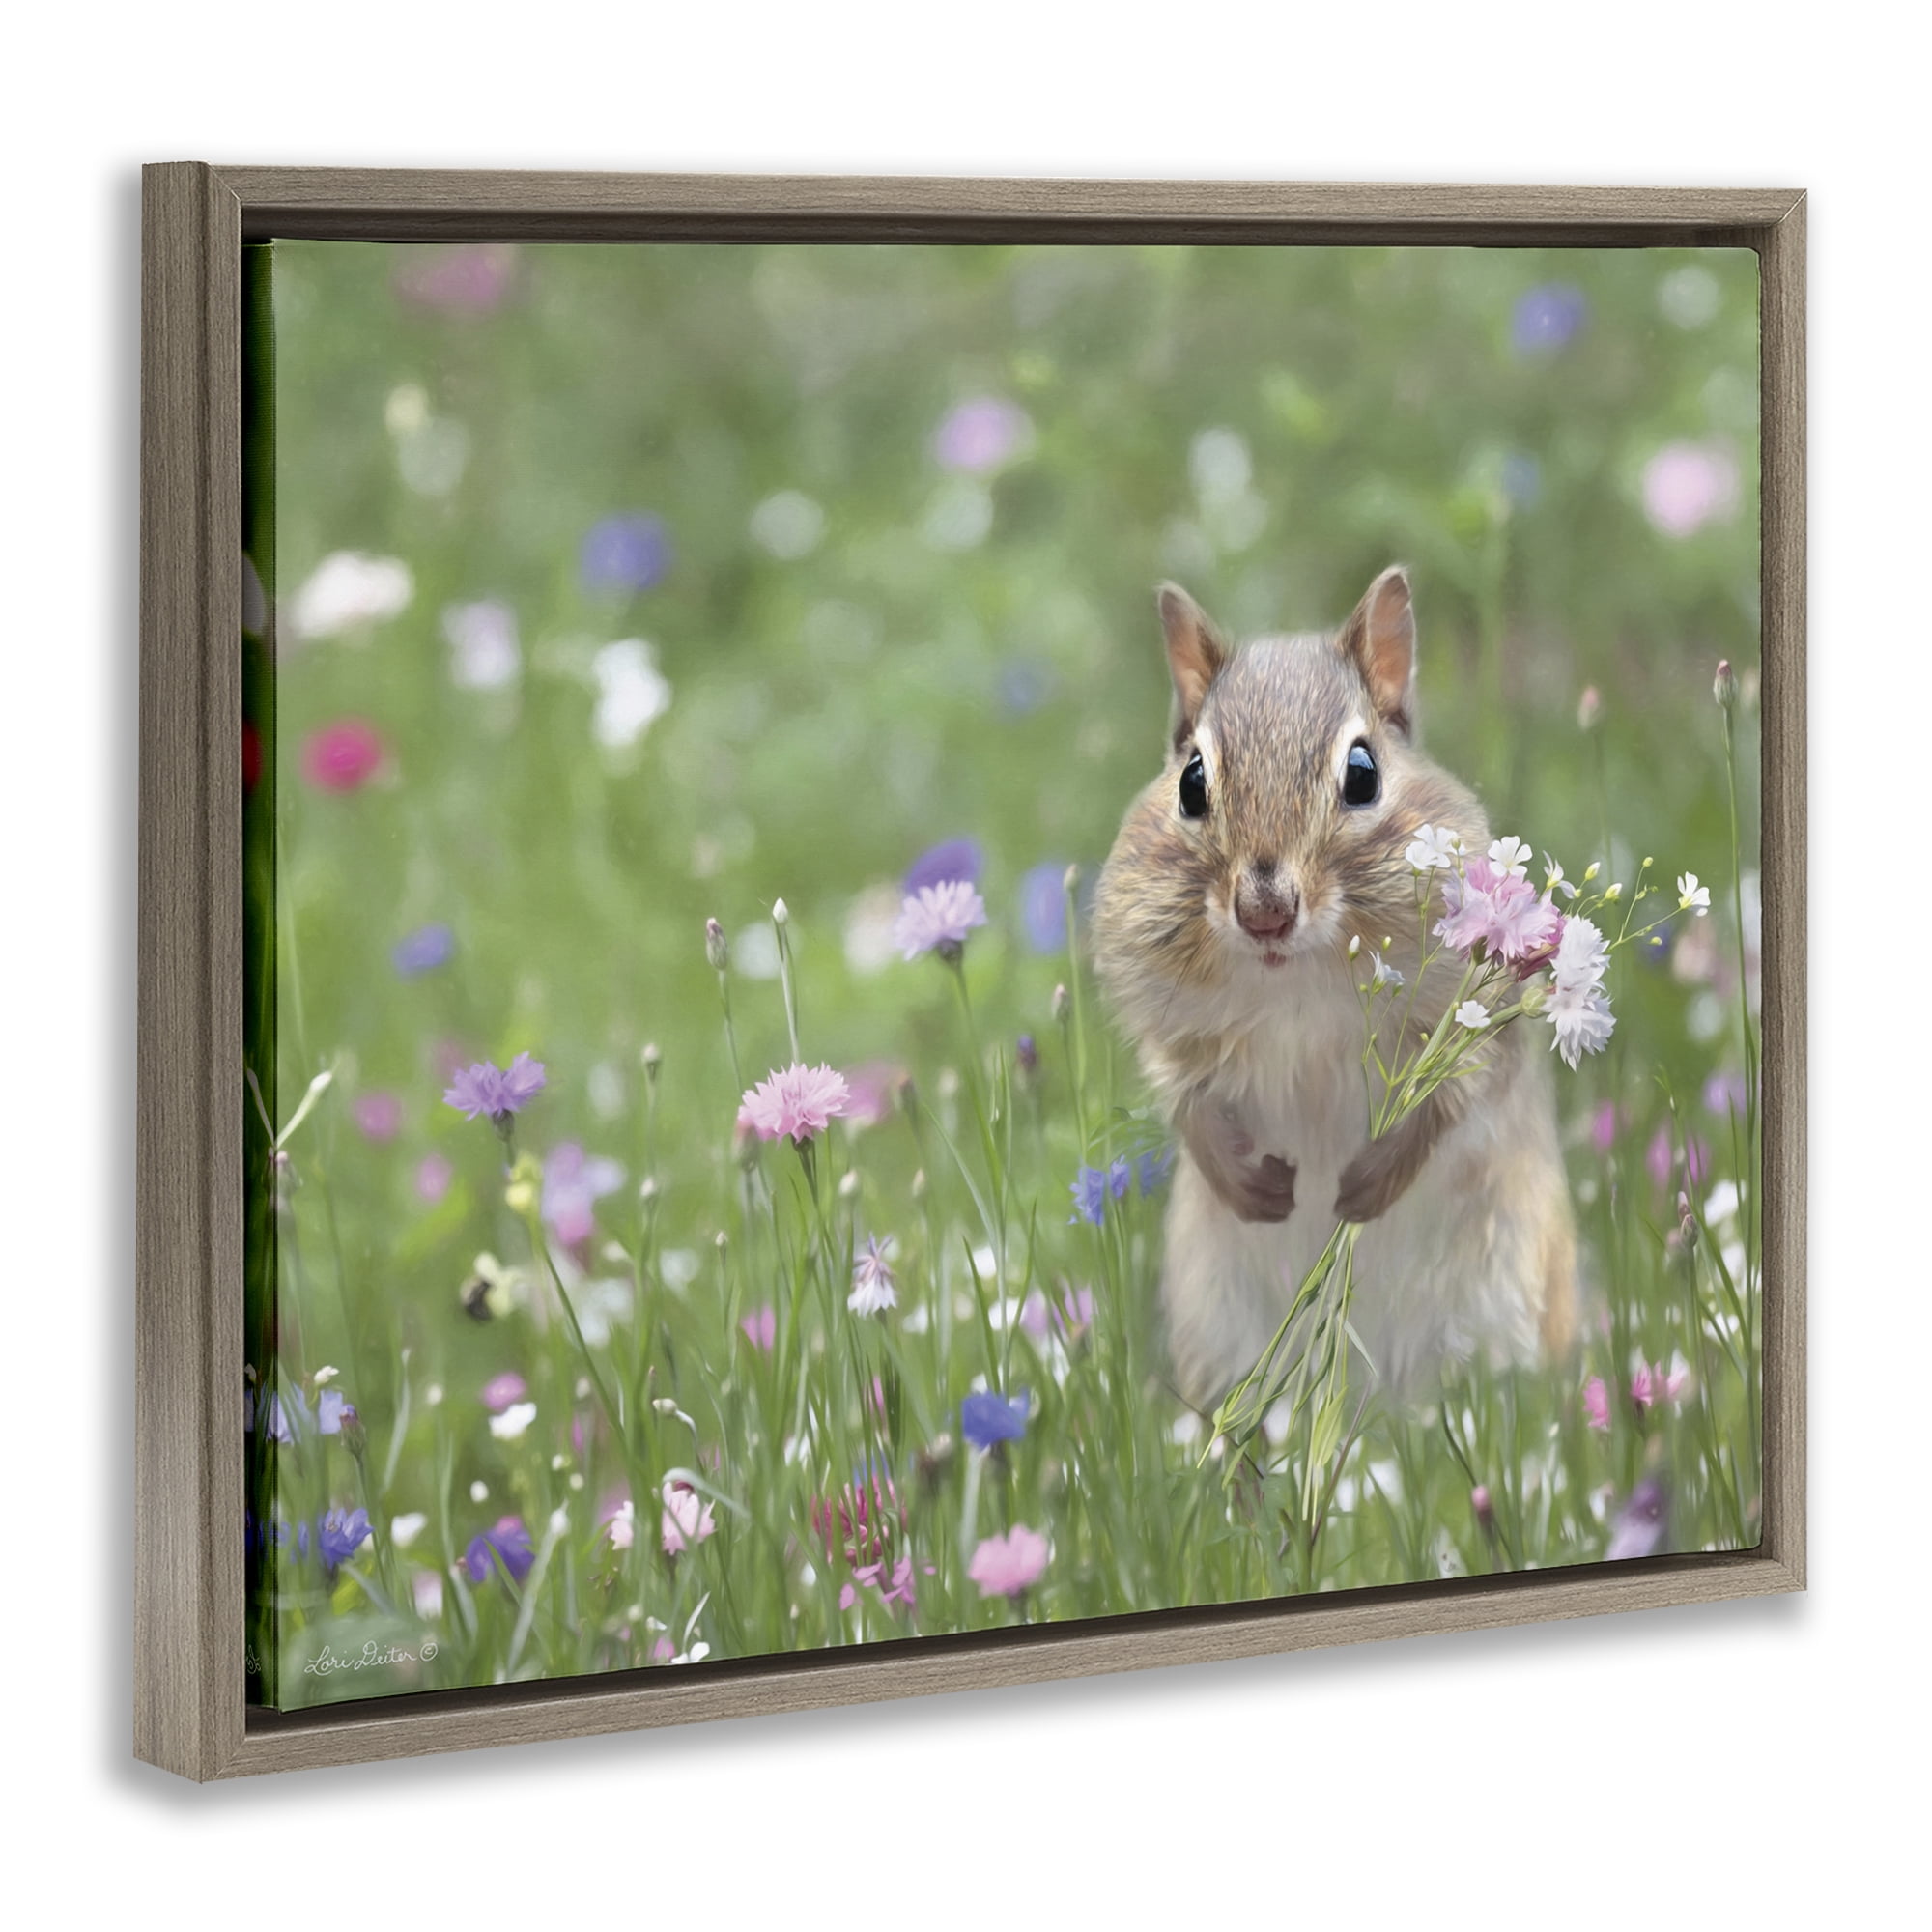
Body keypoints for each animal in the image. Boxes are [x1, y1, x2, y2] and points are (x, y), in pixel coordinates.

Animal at [1092, 567, 1577, 1410]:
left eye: (1362, 774)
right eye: (1191, 782)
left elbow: (1454, 1099)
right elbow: (1184, 1098)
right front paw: (1252, 1187)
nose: (1264, 912)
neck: (1295, 982)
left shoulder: (1475, 1020)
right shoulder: (1170, 1024)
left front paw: (1366, 1188)